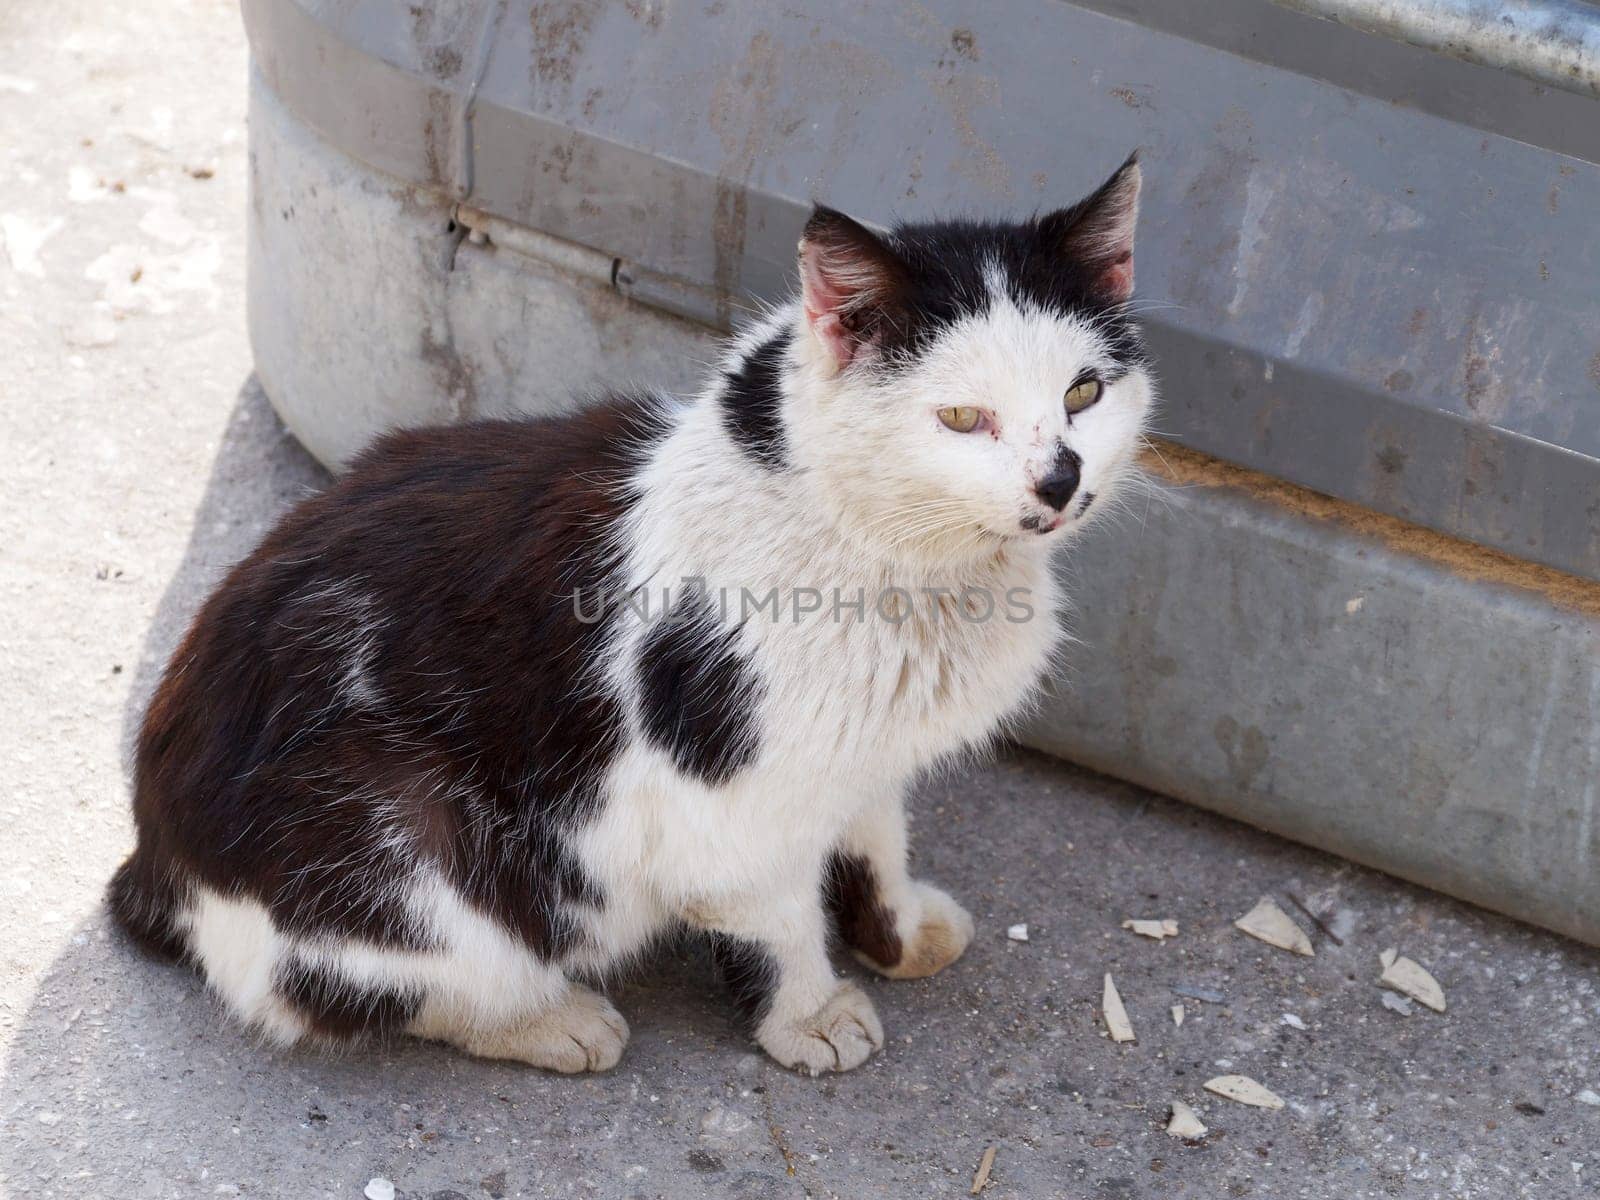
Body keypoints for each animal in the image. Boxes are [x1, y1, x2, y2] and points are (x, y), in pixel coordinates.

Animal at [112, 152, 1158, 1081]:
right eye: (962, 419)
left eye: (1084, 392)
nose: (1059, 479)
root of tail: (153, 855)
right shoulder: (728, 800)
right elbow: (778, 915)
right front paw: (810, 1014)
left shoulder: (862, 754)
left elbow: (875, 839)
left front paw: (897, 934)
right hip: (397, 834)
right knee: (364, 987)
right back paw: (551, 1020)